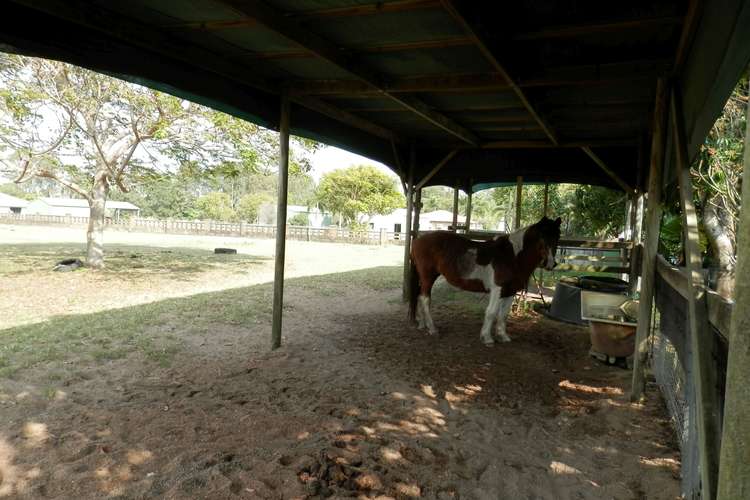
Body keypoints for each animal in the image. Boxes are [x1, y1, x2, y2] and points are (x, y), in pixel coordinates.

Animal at [408, 217, 560, 346]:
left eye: (557, 237)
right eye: (541, 237)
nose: (550, 263)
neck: (512, 256)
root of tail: (417, 241)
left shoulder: (510, 291)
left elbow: (503, 315)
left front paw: (502, 336)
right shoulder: (497, 289)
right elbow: (491, 312)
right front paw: (487, 338)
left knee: (420, 297)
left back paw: (422, 324)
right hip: (428, 277)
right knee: (425, 299)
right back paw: (432, 328)